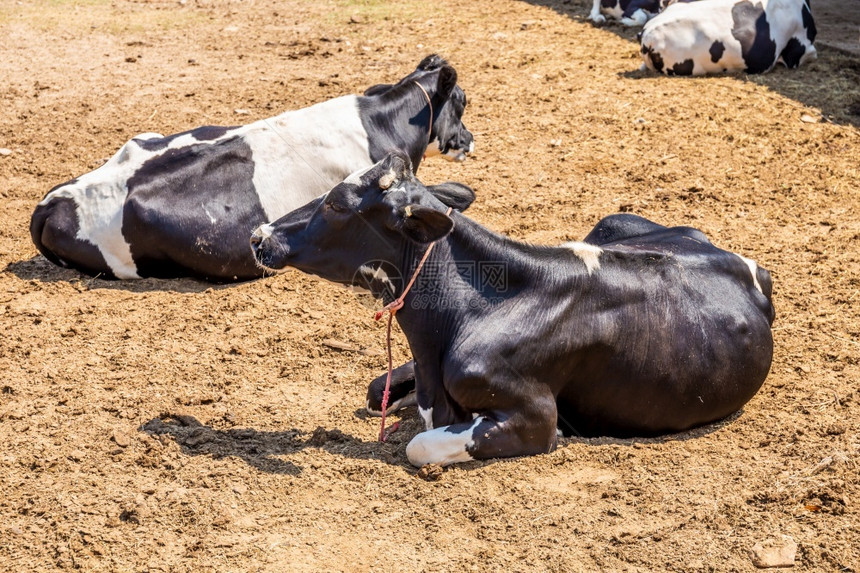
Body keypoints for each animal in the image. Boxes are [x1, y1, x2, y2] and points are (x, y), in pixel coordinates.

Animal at [250, 151, 780, 464]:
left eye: (337, 205)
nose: (259, 235)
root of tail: (739, 261)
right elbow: (380, 389)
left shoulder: (534, 417)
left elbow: (420, 446)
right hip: (615, 220)